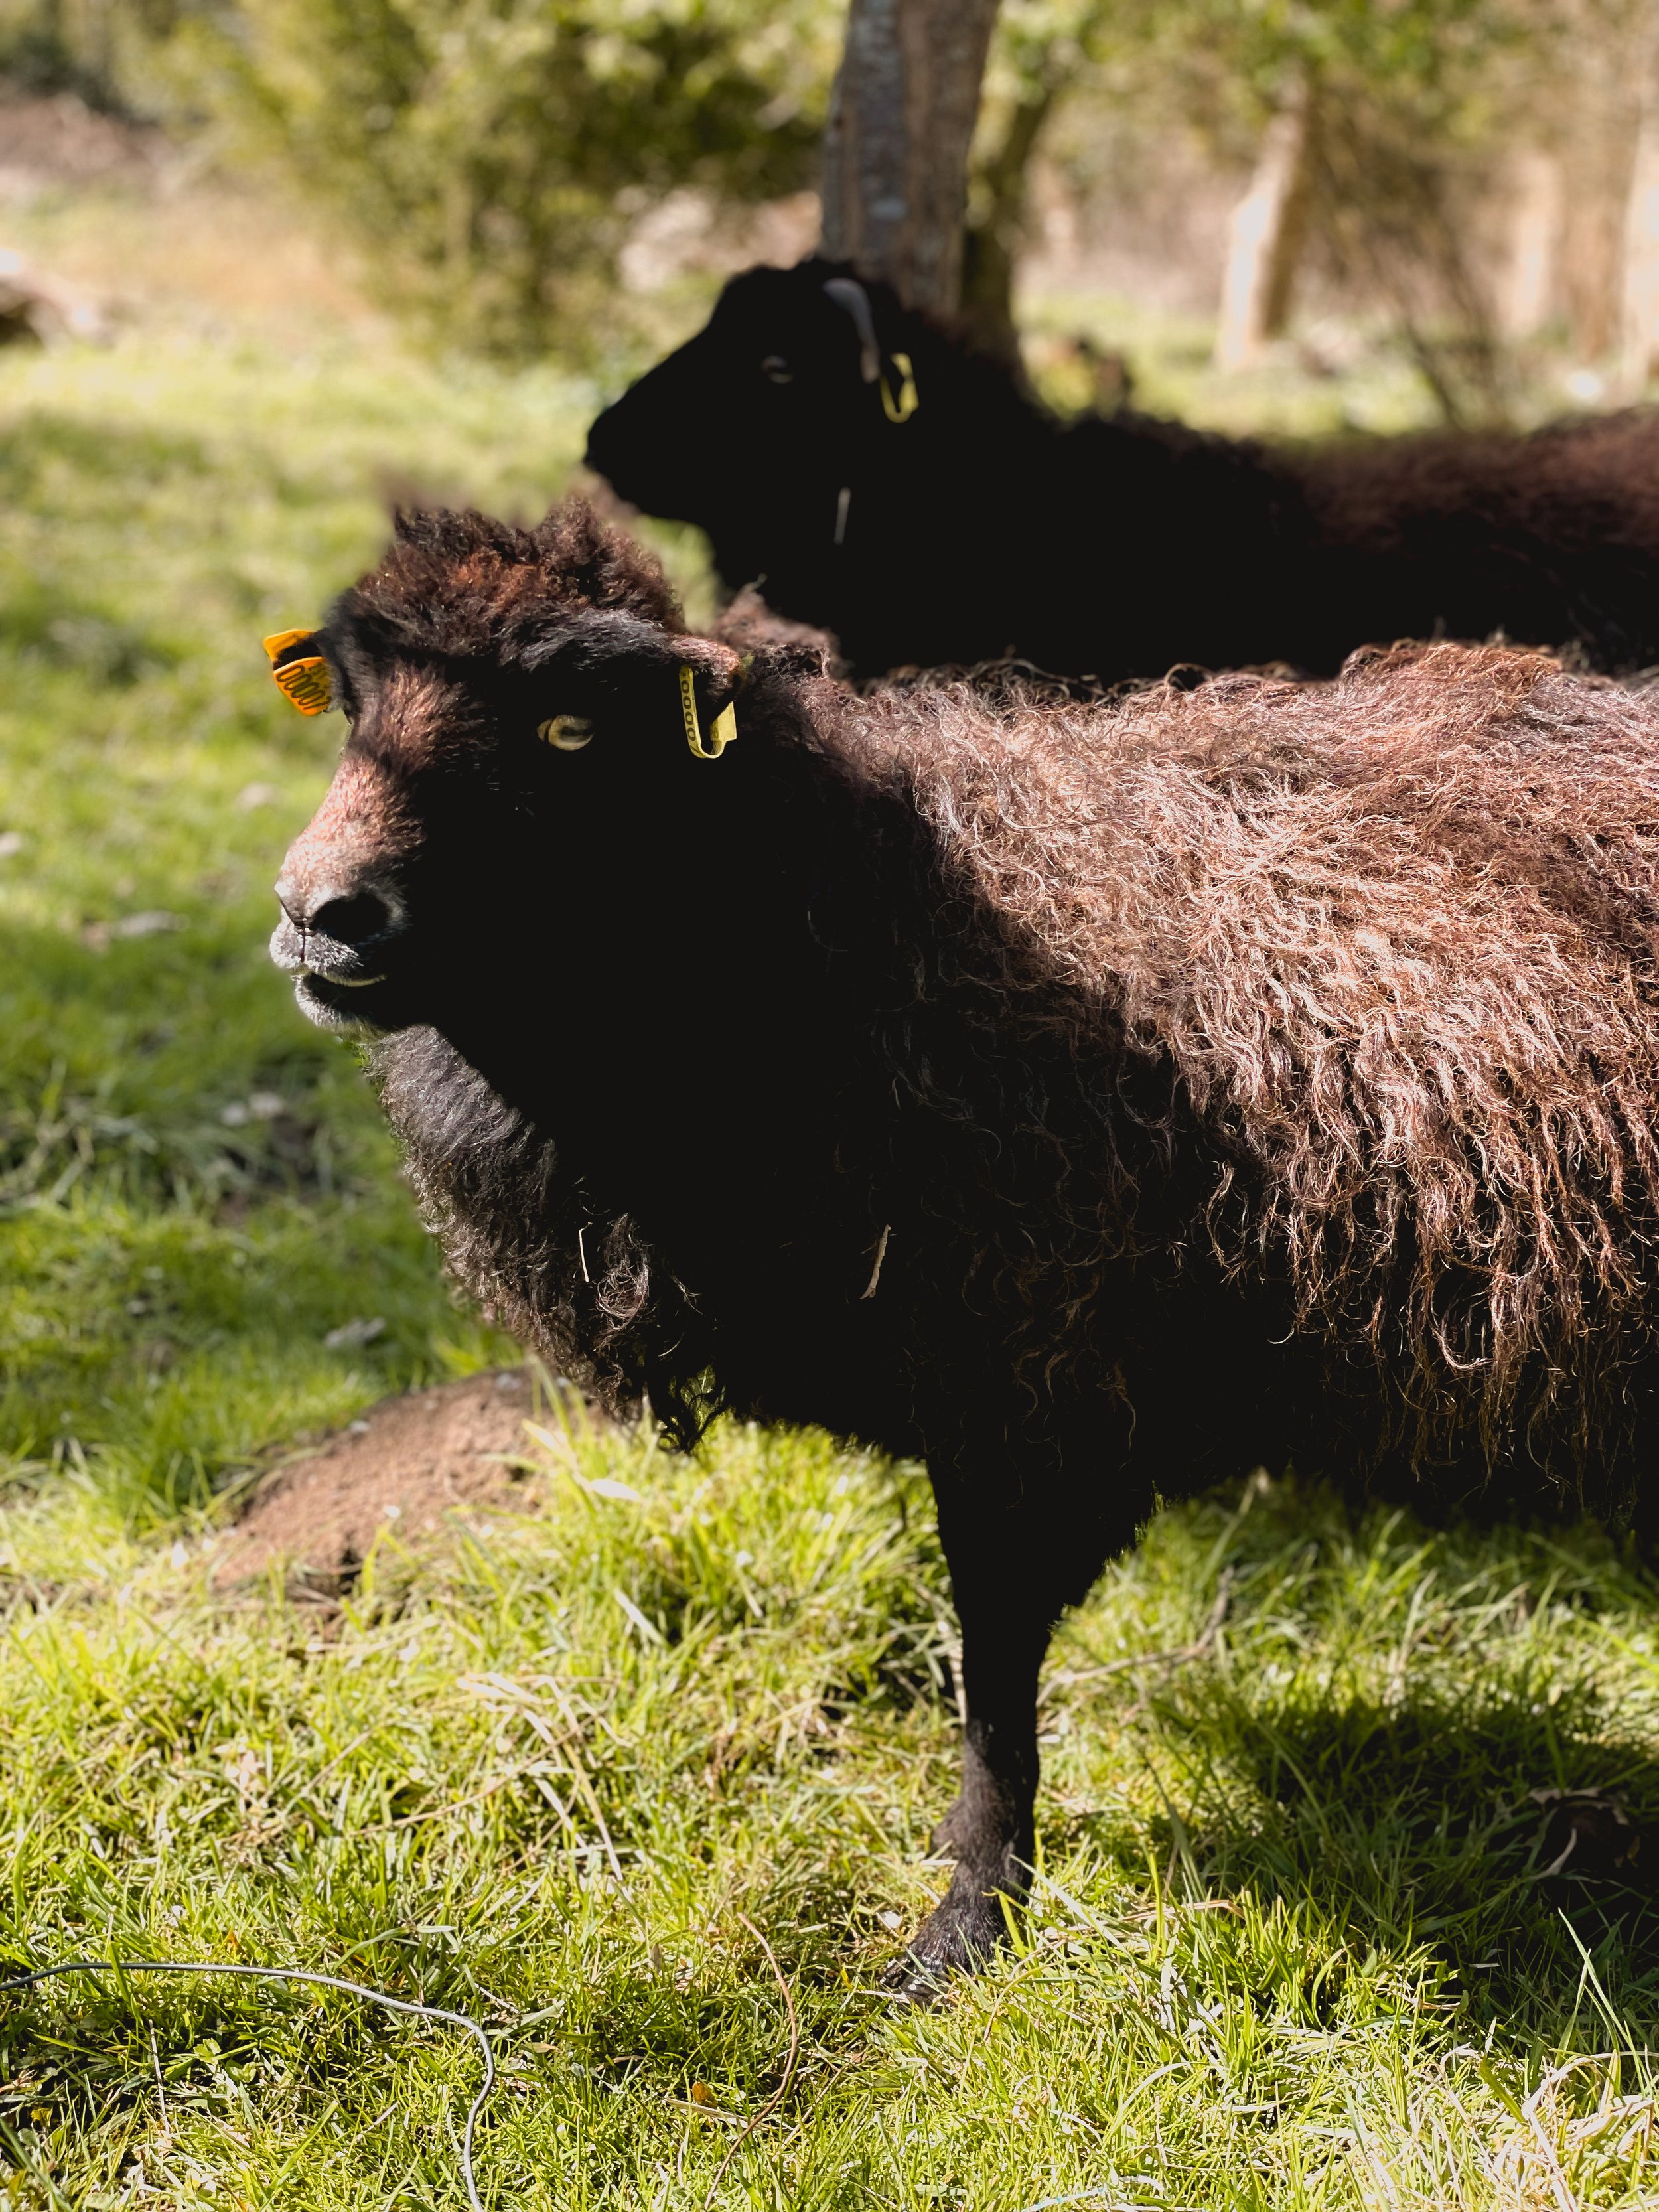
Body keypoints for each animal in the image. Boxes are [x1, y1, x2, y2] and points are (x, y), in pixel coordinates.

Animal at [269, 498, 1659, 1992]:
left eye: (569, 726)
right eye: (352, 702)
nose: (320, 914)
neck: (833, 927)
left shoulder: (1023, 1371)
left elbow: (992, 1668)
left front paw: (968, 1923)